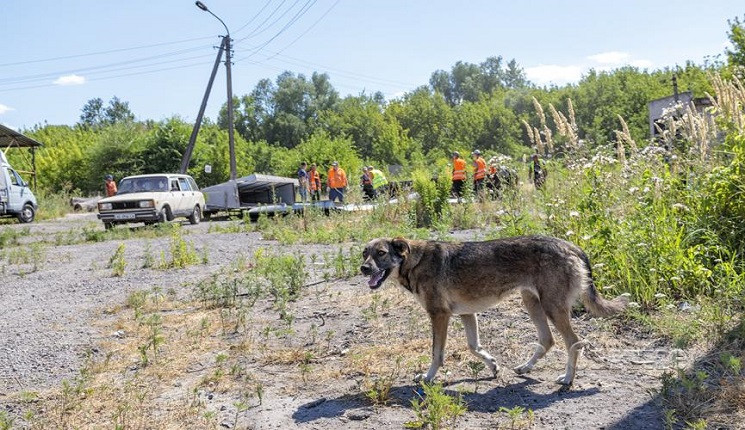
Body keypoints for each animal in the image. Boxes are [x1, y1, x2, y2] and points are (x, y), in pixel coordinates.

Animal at [360, 237, 628, 384]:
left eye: (381, 254)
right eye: (365, 254)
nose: (363, 269)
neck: (415, 260)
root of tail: (572, 246)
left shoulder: (439, 316)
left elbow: (437, 353)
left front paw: (427, 378)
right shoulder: (466, 314)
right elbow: (474, 347)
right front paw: (493, 366)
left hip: (552, 308)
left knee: (573, 342)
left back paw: (568, 379)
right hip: (532, 304)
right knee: (548, 340)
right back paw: (525, 368)